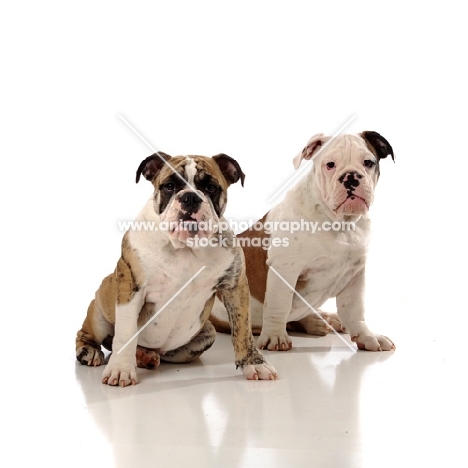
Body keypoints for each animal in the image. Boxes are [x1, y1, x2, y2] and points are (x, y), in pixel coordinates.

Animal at [75, 152, 276, 386]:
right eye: (169, 186)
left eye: (210, 188)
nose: (190, 197)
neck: (184, 247)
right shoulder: (130, 289)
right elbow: (125, 334)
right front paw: (120, 369)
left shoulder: (235, 286)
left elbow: (243, 330)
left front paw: (254, 363)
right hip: (99, 314)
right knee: (87, 335)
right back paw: (90, 352)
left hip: (206, 334)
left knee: (162, 353)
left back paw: (145, 356)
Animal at [210, 132, 396, 352]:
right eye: (330, 165)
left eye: (368, 162)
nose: (350, 177)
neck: (340, 223)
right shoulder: (285, 269)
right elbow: (279, 304)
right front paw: (275, 337)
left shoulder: (355, 274)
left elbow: (355, 310)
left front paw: (368, 337)